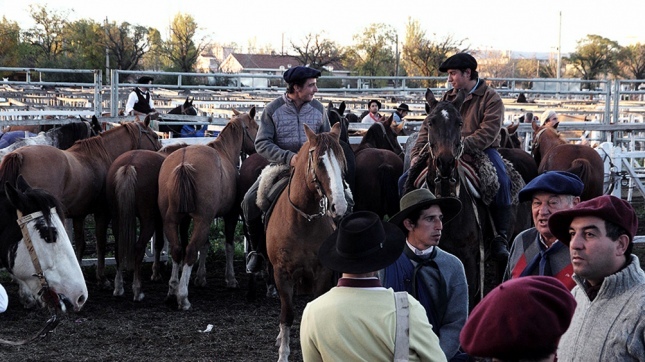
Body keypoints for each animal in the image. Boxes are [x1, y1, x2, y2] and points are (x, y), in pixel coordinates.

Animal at [0, 120, 161, 288]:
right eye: (155, 136)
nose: (160, 152)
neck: (100, 156)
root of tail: (19, 155)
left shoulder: (79, 215)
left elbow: (80, 244)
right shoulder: (102, 213)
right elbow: (101, 243)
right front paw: (101, 277)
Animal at [105, 143, 189, 302]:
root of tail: (129, 165)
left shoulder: (160, 220)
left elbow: (157, 244)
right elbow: (167, 243)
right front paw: (158, 273)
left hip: (117, 218)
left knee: (119, 248)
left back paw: (118, 288)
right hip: (147, 221)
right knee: (138, 248)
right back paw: (137, 291)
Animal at [157, 107, 258, 308]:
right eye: (256, 126)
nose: (257, 148)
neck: (224, 151)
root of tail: (183, 163)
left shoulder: (193, 219)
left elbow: (204, 245)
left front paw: (200, 278)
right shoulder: (229, 216)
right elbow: (228, 245)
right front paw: (230, 279)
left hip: (171, 219)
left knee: (177, 250)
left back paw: (172, 290)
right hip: (201, 220)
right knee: (189, 251)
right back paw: (183, 296)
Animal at [266, 122, 350, 362]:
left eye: (342, 160)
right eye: (320, 162)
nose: (339, 206)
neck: (303, 220)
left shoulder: (322, 273)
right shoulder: (281, 273)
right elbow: (287, 313)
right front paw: (283, 354)